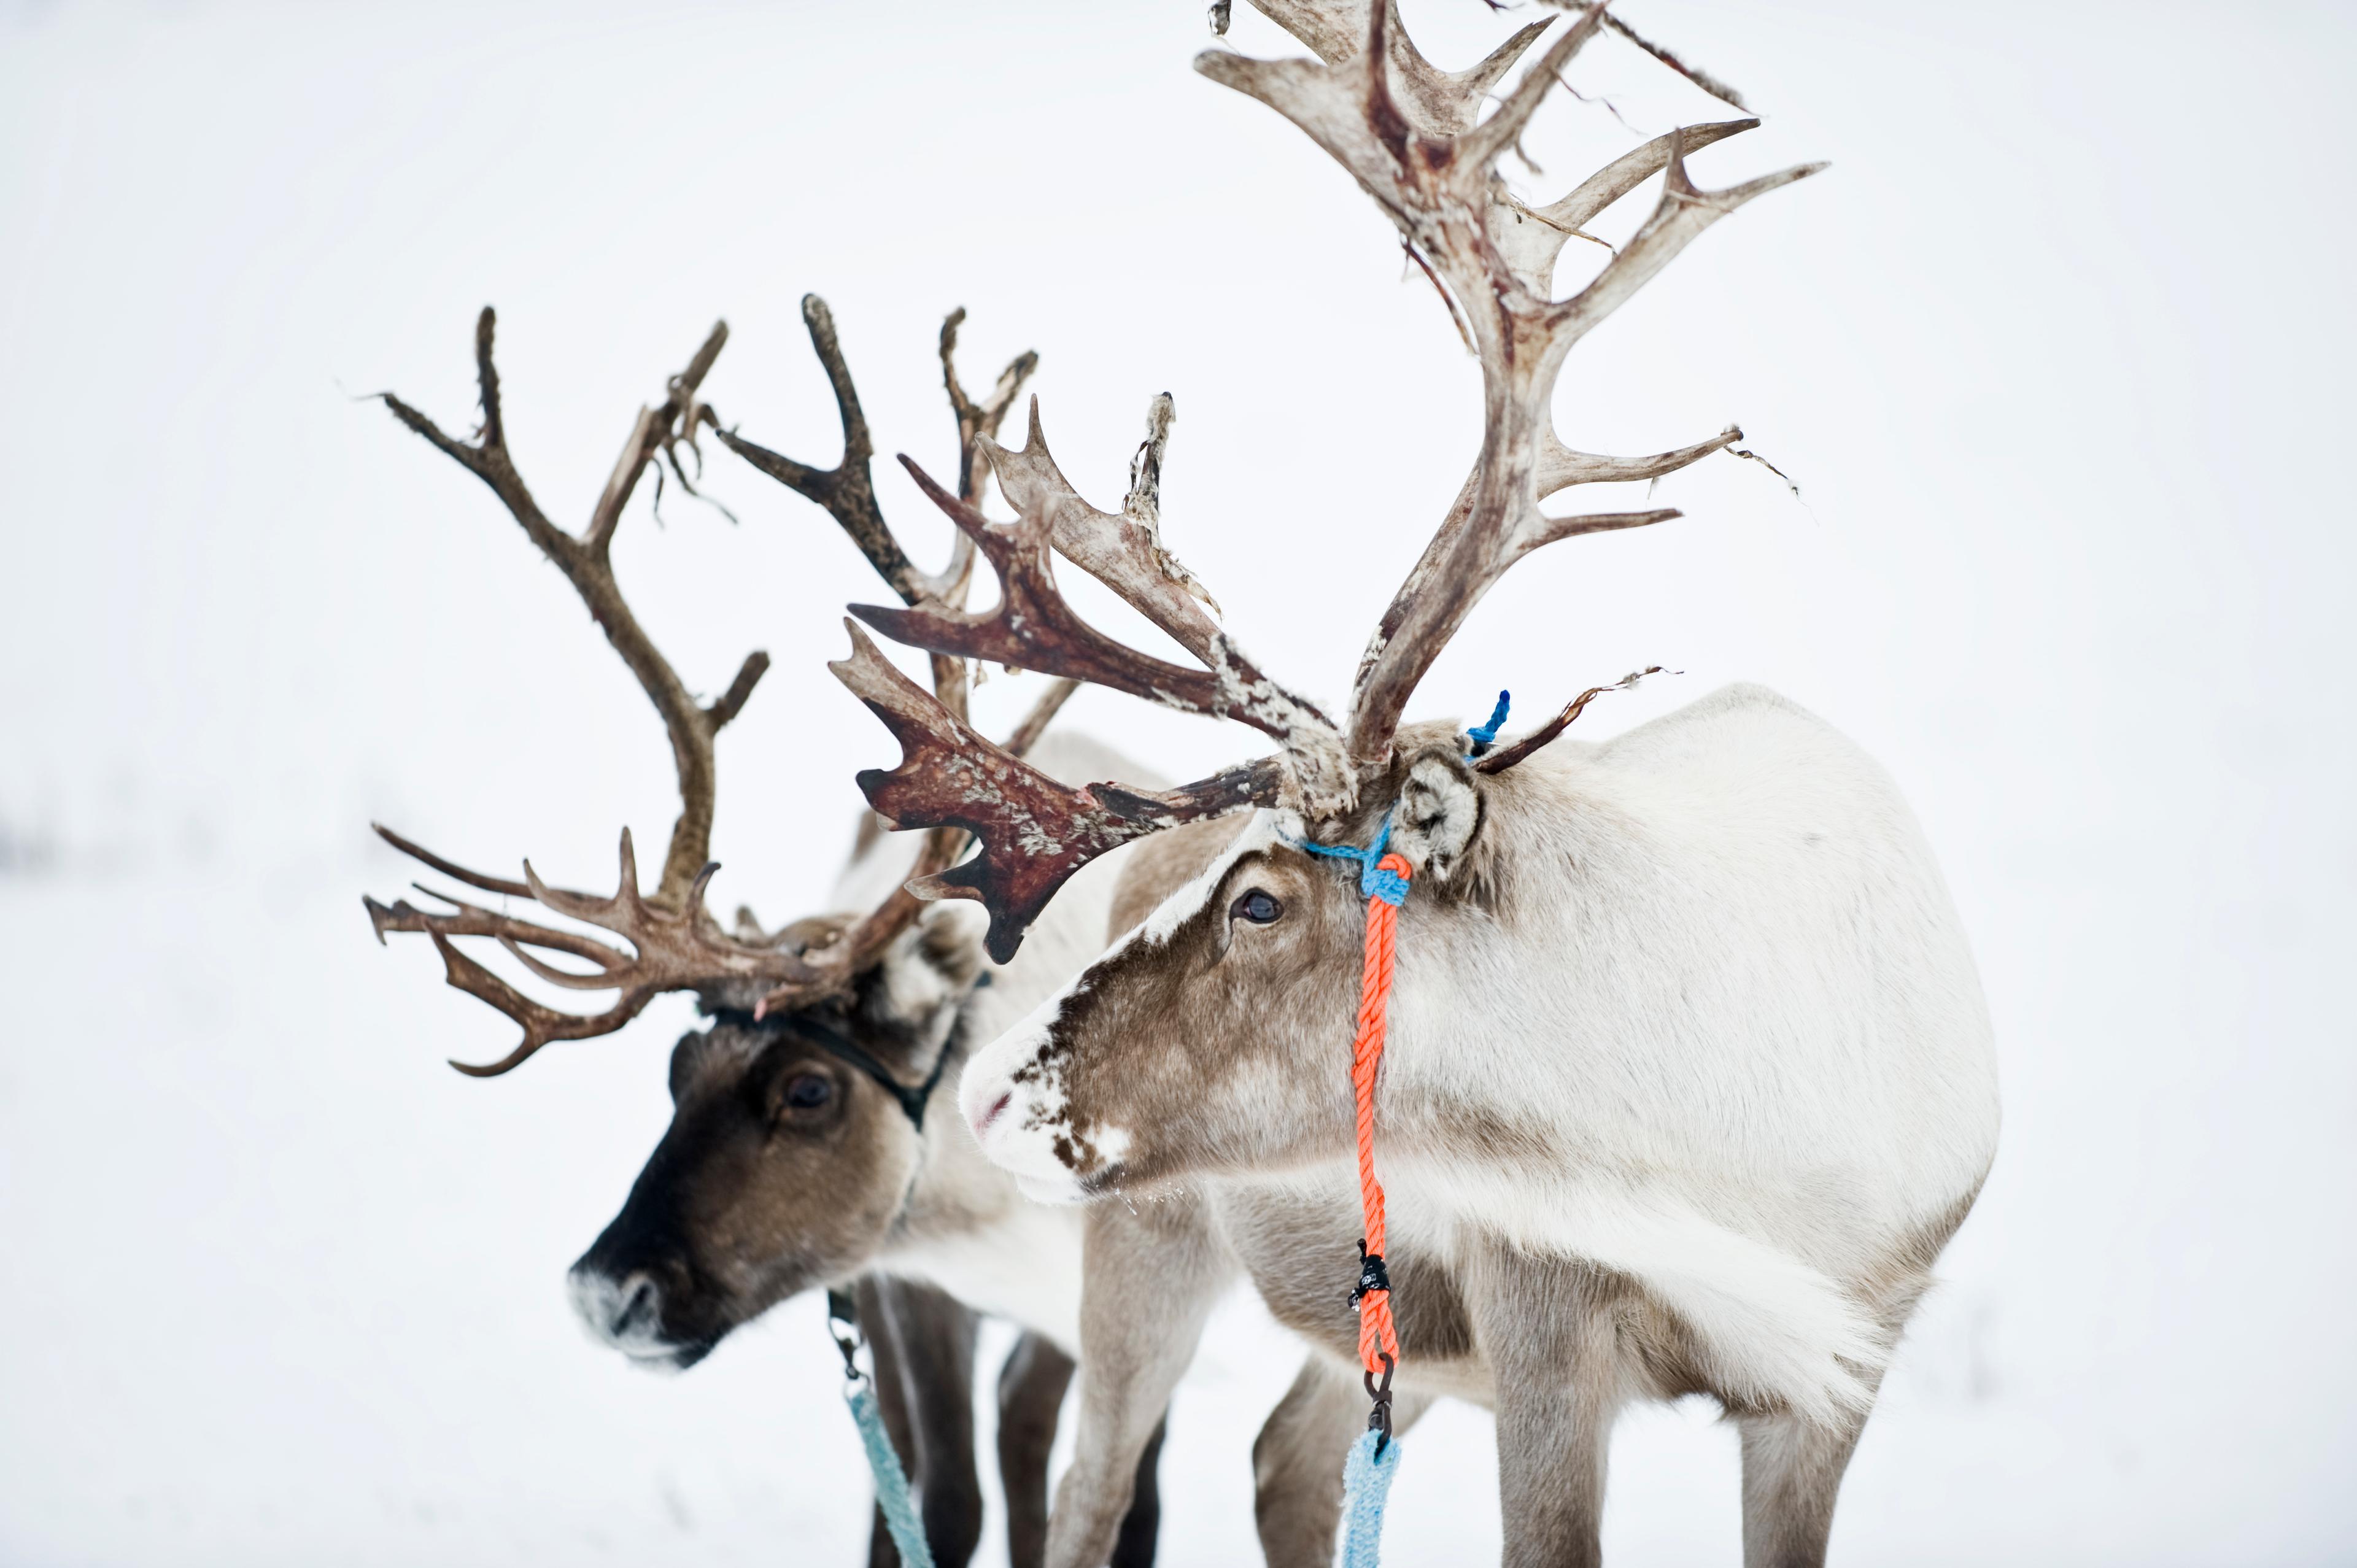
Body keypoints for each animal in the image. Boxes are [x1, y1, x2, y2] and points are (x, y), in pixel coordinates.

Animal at [359, 299, 1173, 1567]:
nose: (606, 1295)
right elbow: (941, 1500)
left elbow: (1108, 1496)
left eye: (808, 1089)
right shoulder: (902, 1285)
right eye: (677, 1064)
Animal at [815, 4, 2002, 1566]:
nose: (1000, 1091)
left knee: (1287, 1457)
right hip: (1160, 1249)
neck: (1724, 1164)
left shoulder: (1844, 1360)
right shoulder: (1540, 1310)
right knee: (1093, 1487)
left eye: (1261, 902)